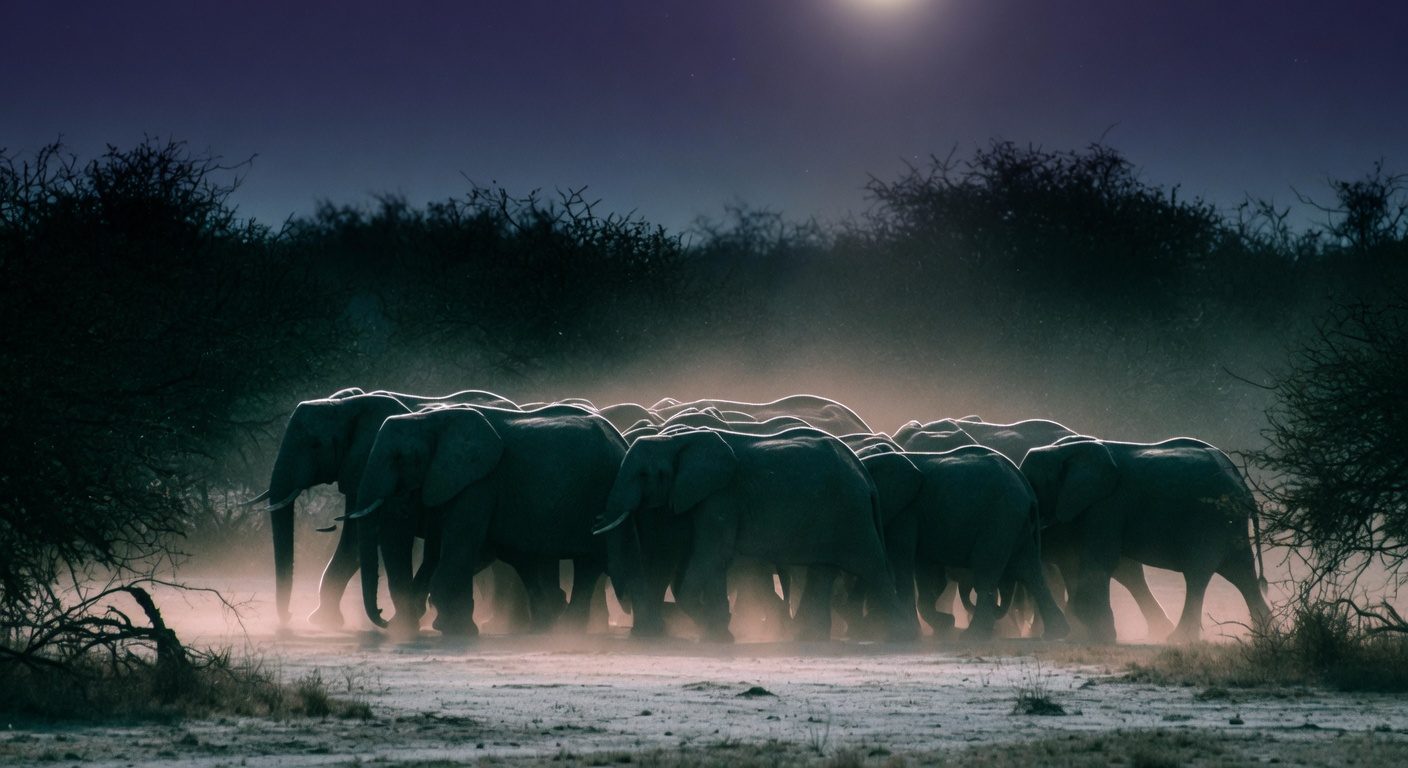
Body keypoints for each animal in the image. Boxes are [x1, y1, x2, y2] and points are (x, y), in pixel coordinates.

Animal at [255, 388, 517, 627]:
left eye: (315, 444)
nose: (289, 616)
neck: (347, 404)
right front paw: (322, 621)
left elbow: (354, 544)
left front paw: (322, 621)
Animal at [352, 404, 630, 638]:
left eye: (400, 458)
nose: (382, 616)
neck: (431, 419)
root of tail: (622, 441)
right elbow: (443, 548)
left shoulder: (479, 482)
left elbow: (461, 543)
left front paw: (455, 629)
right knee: (562, 563)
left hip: (599, 492)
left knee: (589, 563)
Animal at [593, 427, 910, 642]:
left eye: (643, 475)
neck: (676, 441)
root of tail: (864, 474)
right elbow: (713, 560)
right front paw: (718, 632)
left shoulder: (721, 496)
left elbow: (712, 556)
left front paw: (717, 630)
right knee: (824, 570)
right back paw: (807, 637)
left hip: (851, 514)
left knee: (874, 567)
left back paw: (901, 638)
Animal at [1020, 438, 1271, 643]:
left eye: (1033, 484)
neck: (1060, 451)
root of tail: (1242, 483)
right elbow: (1080, 561)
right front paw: (1085, 633)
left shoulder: (1108, 504)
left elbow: (1101, 560)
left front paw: (1101, 635)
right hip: (1229, 524)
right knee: (1242, 574)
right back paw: (1266, 636)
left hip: (1211, 521)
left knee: (1199, 574)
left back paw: (1178, 639)